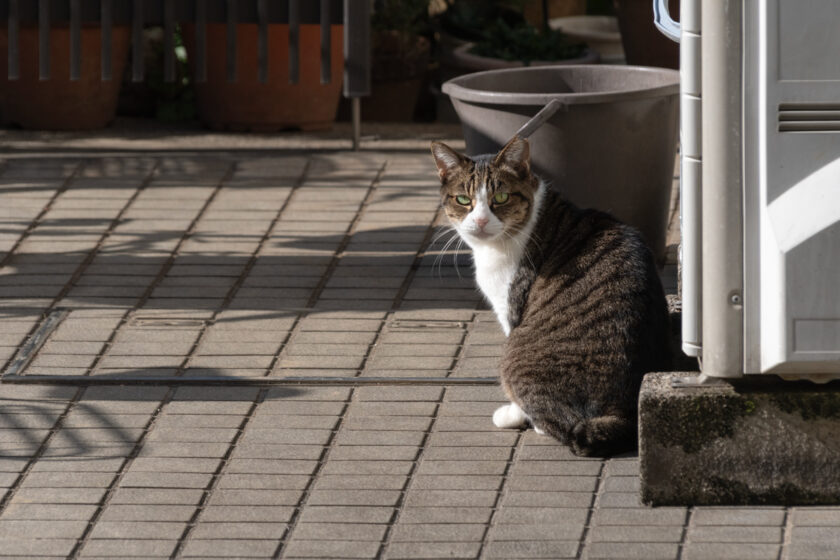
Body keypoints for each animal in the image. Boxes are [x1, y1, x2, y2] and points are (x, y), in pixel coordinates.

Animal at [430, 136, 672, 456]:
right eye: (462, 200)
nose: (480, 221)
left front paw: (513, 414)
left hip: (513, 357)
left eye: (501, 197)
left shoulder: (511, 311)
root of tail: (621, 413)